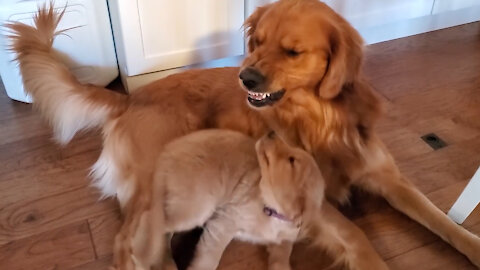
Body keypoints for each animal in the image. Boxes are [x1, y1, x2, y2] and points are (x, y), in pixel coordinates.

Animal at [112, 129, 386, 270]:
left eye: (291, 160)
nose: (272, 132)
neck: (272, 209)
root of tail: (165, 153)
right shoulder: (222, 223)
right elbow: (209, 258)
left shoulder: (282, 242)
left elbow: (281, 262)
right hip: (197, 206)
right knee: (147, 221)